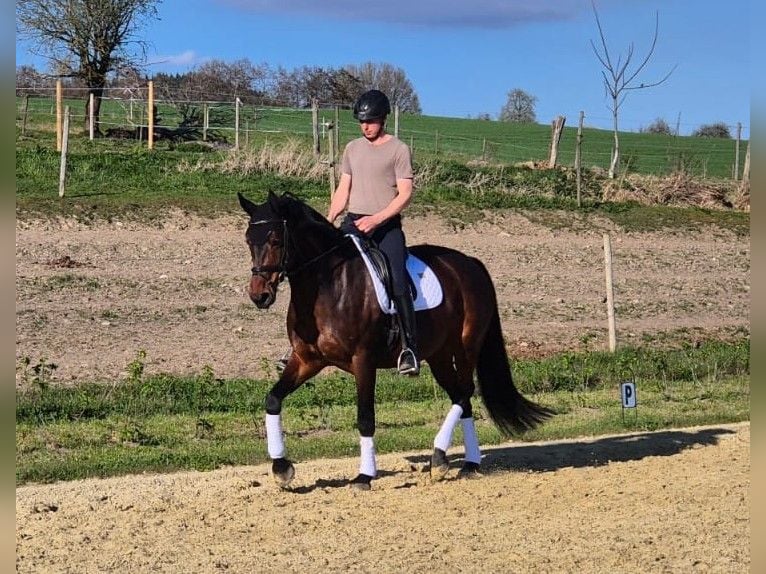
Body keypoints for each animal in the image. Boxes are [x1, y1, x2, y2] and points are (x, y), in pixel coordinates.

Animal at [238, 191, 553, 490]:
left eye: (275, 240)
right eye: (248, 240)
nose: (259, 295)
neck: (327, 285)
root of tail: (470, 263)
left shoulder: (363, 361)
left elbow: (365, 417)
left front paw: (364, 476)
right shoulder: (307, 360)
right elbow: (273, 399)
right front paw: (281, 468)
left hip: (466, 347)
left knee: (465, 393)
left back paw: (441, 457)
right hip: (439, 355)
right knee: (461, 399)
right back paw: (466, 464)